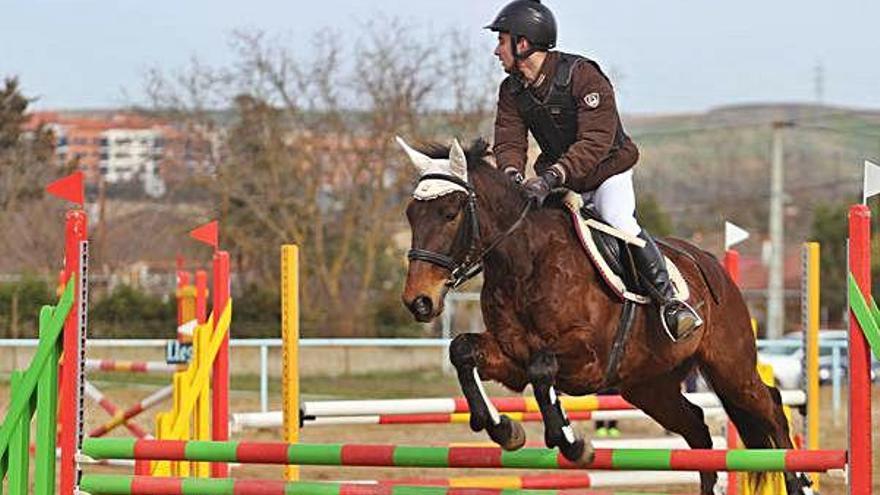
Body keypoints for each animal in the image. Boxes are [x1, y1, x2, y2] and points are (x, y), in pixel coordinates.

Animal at [396, 137, 808, 495]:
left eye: (450, 214)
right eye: (411, 215)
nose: (419, 301)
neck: (524, 263)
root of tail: (712, 265)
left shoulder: (587, 362)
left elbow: (542, 369)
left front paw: (572, 442)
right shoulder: (511, 357)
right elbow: (463, 351)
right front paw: (504, 429)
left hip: (730, 370)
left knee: (772, 406)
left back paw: (799, 482)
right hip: (649, 386)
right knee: (697, 428)